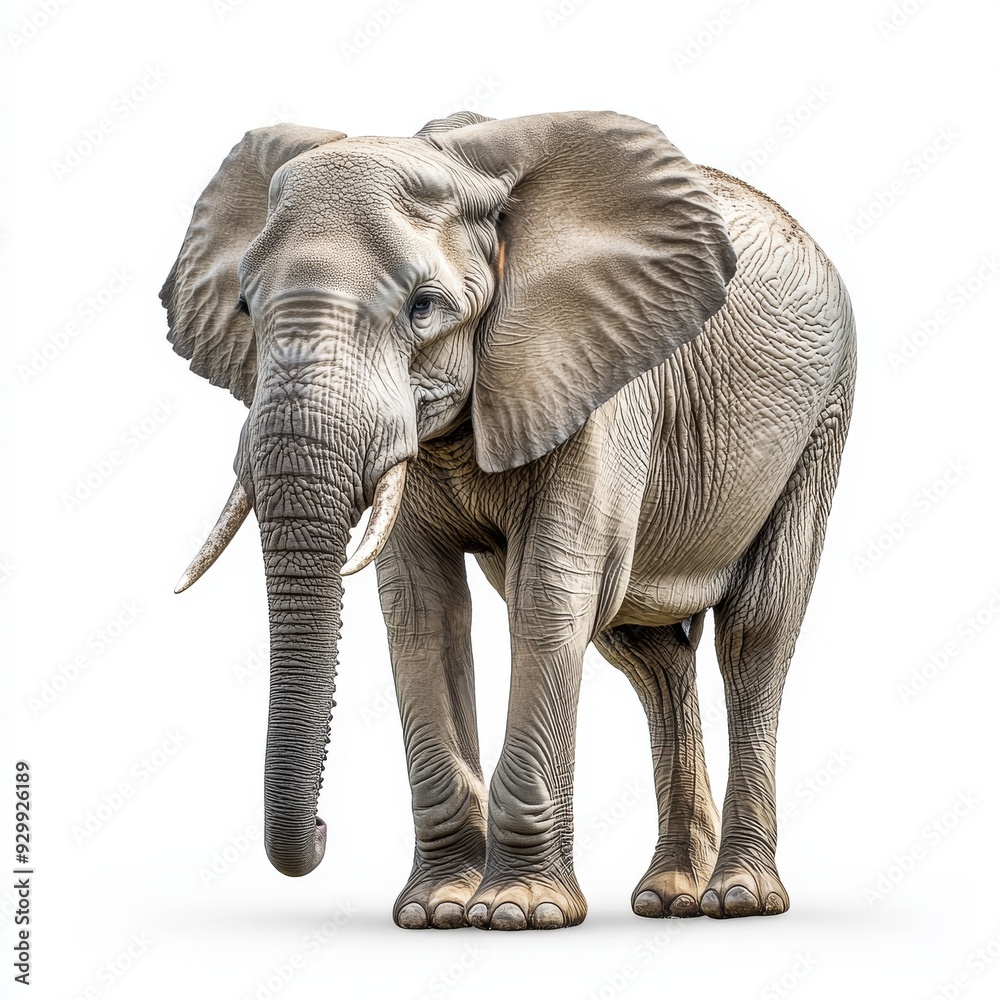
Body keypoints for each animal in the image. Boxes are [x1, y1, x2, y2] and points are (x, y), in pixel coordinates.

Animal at [162, 109, 855, 931]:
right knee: (648, 655)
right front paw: (436, 912)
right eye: (244, 307)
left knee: (754, 633)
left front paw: (519, 912)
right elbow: (420, 609)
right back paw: (668, 899)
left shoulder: (596, 373)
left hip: (822, 419)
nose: (326, 830)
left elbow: (549, 595)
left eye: (423, 307)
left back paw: (739, 898)